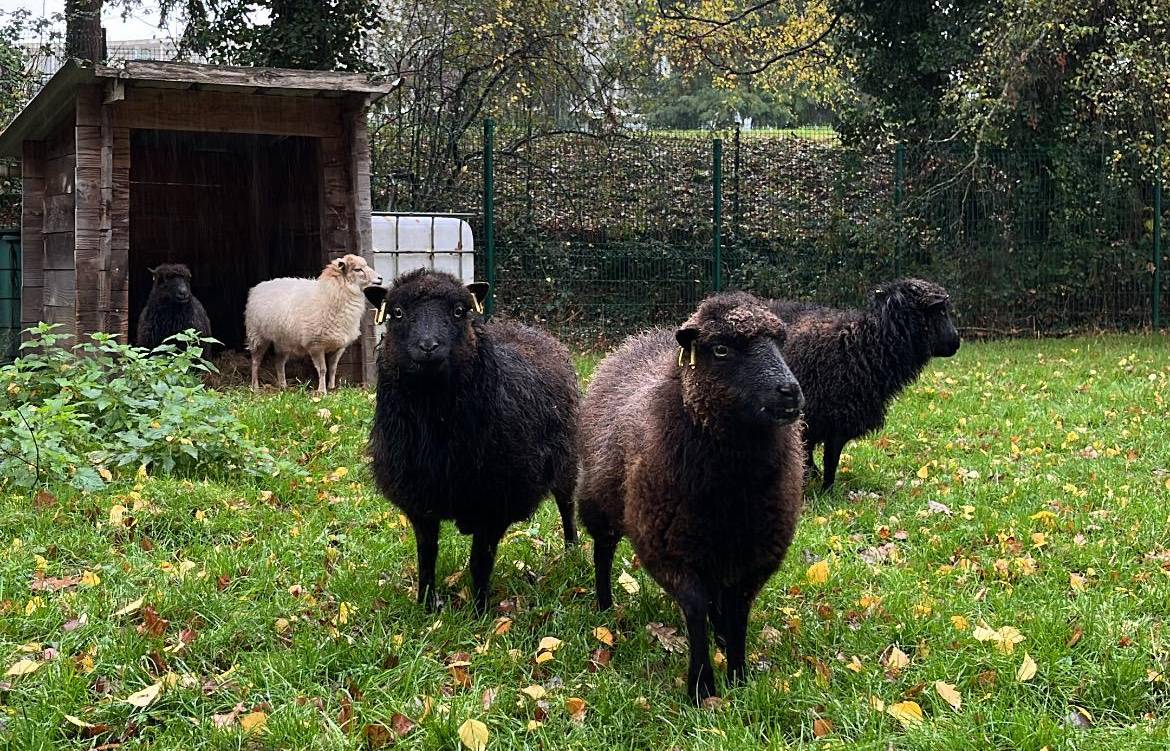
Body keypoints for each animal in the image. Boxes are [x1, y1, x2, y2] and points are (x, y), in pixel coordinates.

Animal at [244, 254, 382, 395]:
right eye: (357, 269)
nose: (380, 278)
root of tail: (258, 287)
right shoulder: (316, 345)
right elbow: (323, 369)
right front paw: (322, 391)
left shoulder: (339, 346)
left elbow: (333, 368)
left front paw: (332, 387)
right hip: (257, 336)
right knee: (255, 362)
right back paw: (255, 387)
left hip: (283, 341)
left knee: (279, 363)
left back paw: (283, 386)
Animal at [364, 269, 579, 613]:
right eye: (397, 313)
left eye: (458, 311)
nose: (428, 346)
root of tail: (525, 327)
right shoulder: (419, 499)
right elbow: (427, 556)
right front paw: (426, 605)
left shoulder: (495, 502)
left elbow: (480, 561)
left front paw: (479, 612)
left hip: (566, 459)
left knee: (566, 505)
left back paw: (572, 549)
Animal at [575, 291, 805, 703]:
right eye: (721, 349)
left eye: (780, 343)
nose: (789, 392)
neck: (732, 487)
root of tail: (639, 339)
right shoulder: (667, 547)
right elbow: (696, 608)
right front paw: (701, 685)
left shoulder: (756, 552)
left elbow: (737, 612)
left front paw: (738, 675)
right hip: (600, 500)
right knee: (602, 551)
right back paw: (604, 606)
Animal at [767, 278, 961, 490]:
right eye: (940, 311)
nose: (957, 342)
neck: (862, 348)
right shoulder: (832, 418)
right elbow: (829, 460)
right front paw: (825, 490)